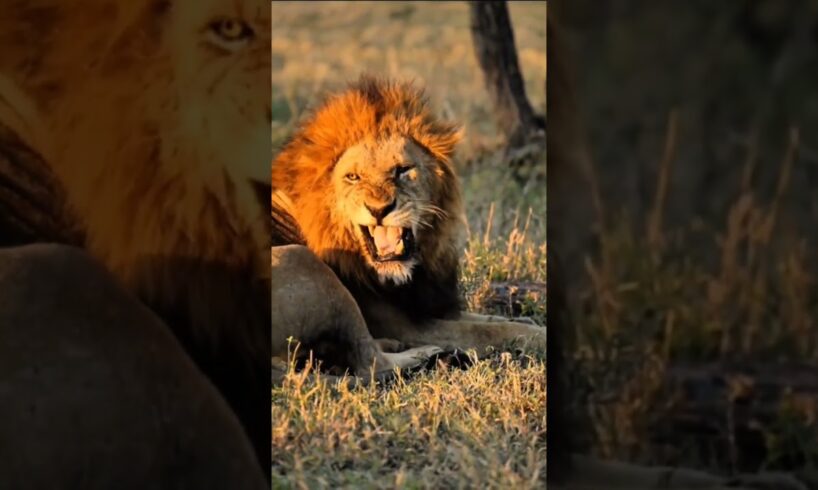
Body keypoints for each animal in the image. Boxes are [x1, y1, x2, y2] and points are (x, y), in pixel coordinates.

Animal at [270, 76, 544, 376]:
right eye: (353, 177)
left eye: (402, 170)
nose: (379, 209)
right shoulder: (406, 325)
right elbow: (487, 331)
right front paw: (538, 334)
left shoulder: (425, 307)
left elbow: (482, 318)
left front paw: (525, 321)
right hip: (303, 260)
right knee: (371, 361)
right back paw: (423, 353)